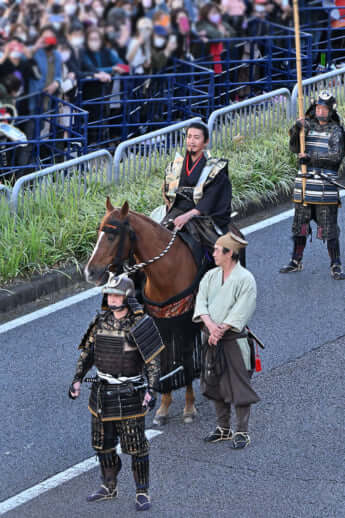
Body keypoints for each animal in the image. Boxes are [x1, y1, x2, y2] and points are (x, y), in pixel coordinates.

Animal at [84, 199, 243, 426]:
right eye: (98, 233)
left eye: (112, 236)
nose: (90, 272)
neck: (167, 270)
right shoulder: (161, 323)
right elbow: (164, 360)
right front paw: (163, 407)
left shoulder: (184, 323)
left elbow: (185, 360)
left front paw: (189, 407)